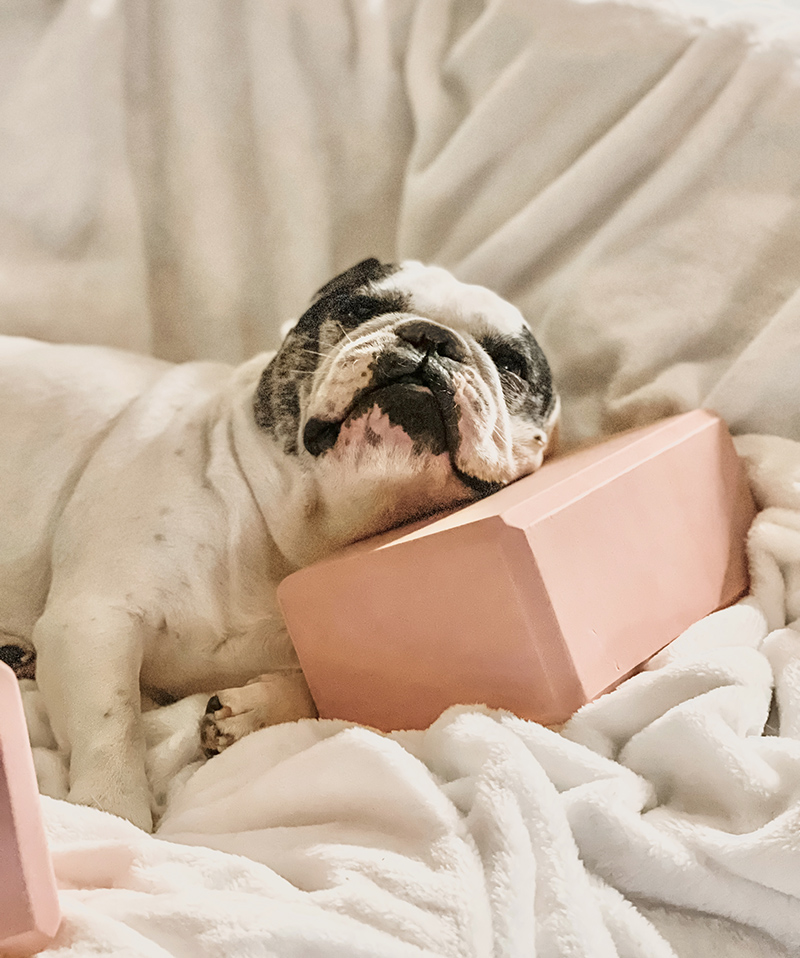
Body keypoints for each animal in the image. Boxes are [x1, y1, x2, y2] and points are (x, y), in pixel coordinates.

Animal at [0, 260, 560, 832]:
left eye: (511, 364)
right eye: (359, 309)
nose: (433, 337)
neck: (294, 536)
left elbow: (321, 693)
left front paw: (254, 710)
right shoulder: (93, 618)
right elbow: (112, 724)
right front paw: (113, 816)